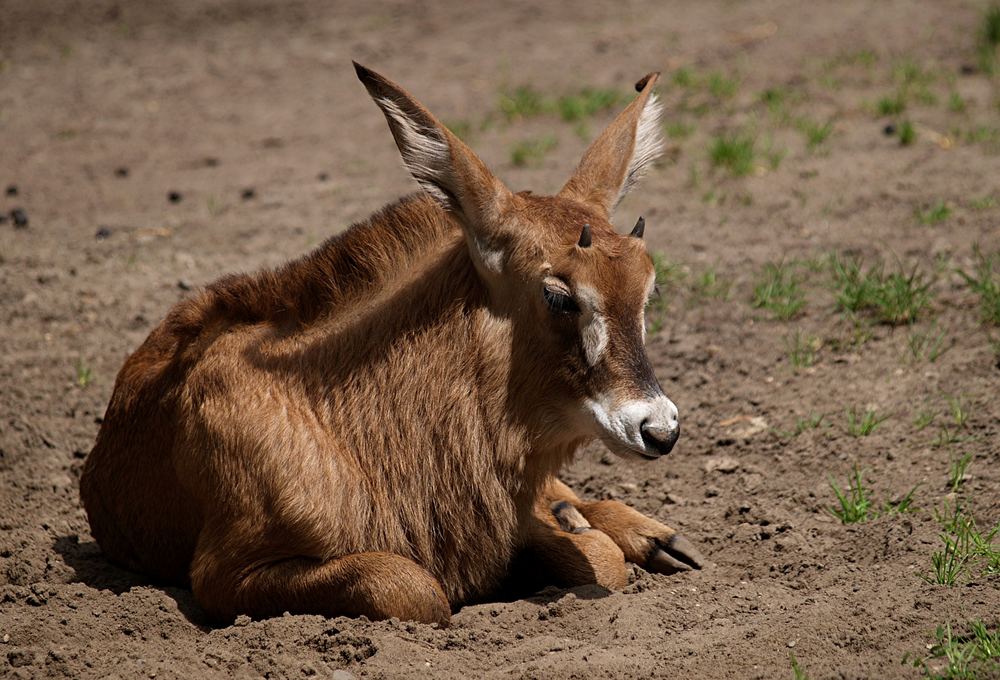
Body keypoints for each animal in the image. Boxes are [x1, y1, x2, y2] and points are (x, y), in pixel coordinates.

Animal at [80, 63, 704, 628]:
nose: (659, 429)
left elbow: (599, 559)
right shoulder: (223, 575)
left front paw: (588, 528)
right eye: (558, 295)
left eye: (647, 284)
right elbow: (412, 587)